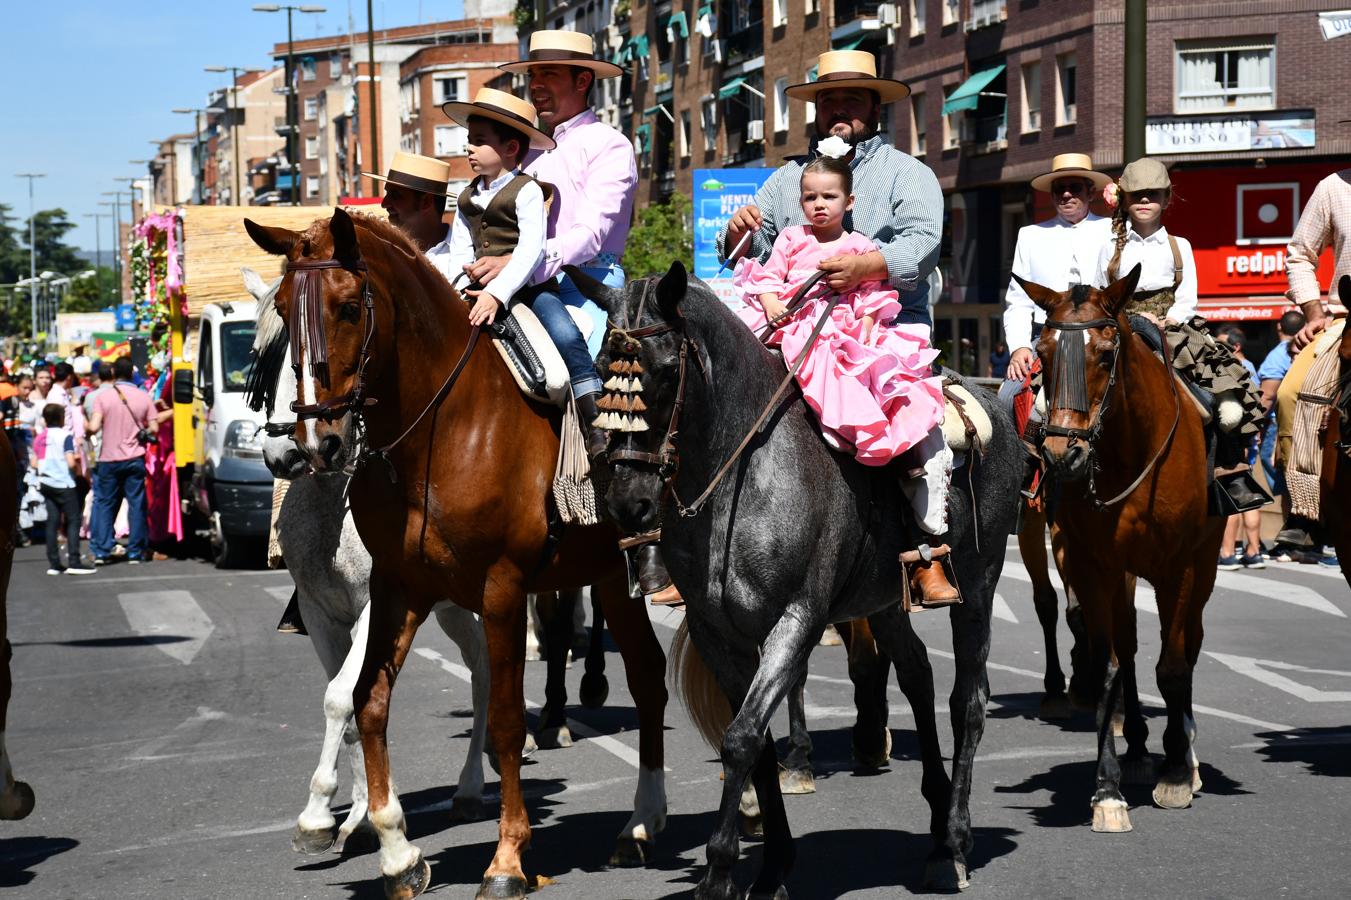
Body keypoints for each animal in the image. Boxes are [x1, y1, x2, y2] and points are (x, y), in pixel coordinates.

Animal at [245, 205, 667, 897]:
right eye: (280, 314)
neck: (444, 430)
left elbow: (504, 718)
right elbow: (364, 701)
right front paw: (392, 847)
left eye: (347, 307)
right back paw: (639, 825)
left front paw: (507, 860)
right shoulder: (394, 592)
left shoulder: (500, 590)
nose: (309, 442)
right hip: (606, 572)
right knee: (649, 675)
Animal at [572, 263, 1021, 891]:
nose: (628, 501)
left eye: (664, 371)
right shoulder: (719, 635)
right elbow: (755, 742)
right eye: (599, 362)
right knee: (917, 676)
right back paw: (935, 833)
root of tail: (993, 404)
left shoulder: (795, 623)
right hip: (885, 600)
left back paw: (955, 841)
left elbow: (740, 739)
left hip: (979, 586)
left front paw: (720, 872)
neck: (746, 473)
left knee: (969, 701)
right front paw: (772, 866)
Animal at [1015, 267, 1226, 832]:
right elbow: (1110, 666)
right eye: (1042, 353)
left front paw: (1174, 774)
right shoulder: (1097, 567)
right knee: (1128, 650)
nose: (1063, 455)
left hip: (1205, 565)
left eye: (1107, 354)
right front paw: (1106, 790)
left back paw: (1186, 756)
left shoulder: (1179, 569)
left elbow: (1173, 665)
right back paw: (1134, 748)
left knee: (1190, 643)